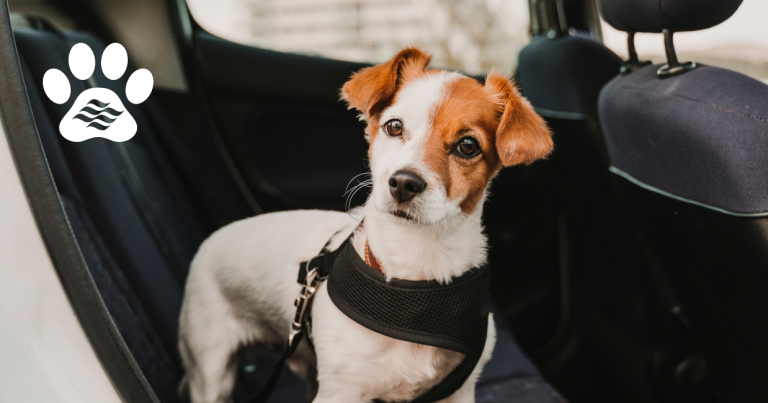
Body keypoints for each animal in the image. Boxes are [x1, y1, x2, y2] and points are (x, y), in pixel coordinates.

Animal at [180, 48, 552, 403]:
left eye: (468, 145)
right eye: (394, 126)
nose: (403, 182)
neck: (414, 276)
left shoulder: (458, 391)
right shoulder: (339, 393)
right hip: (211, 372)